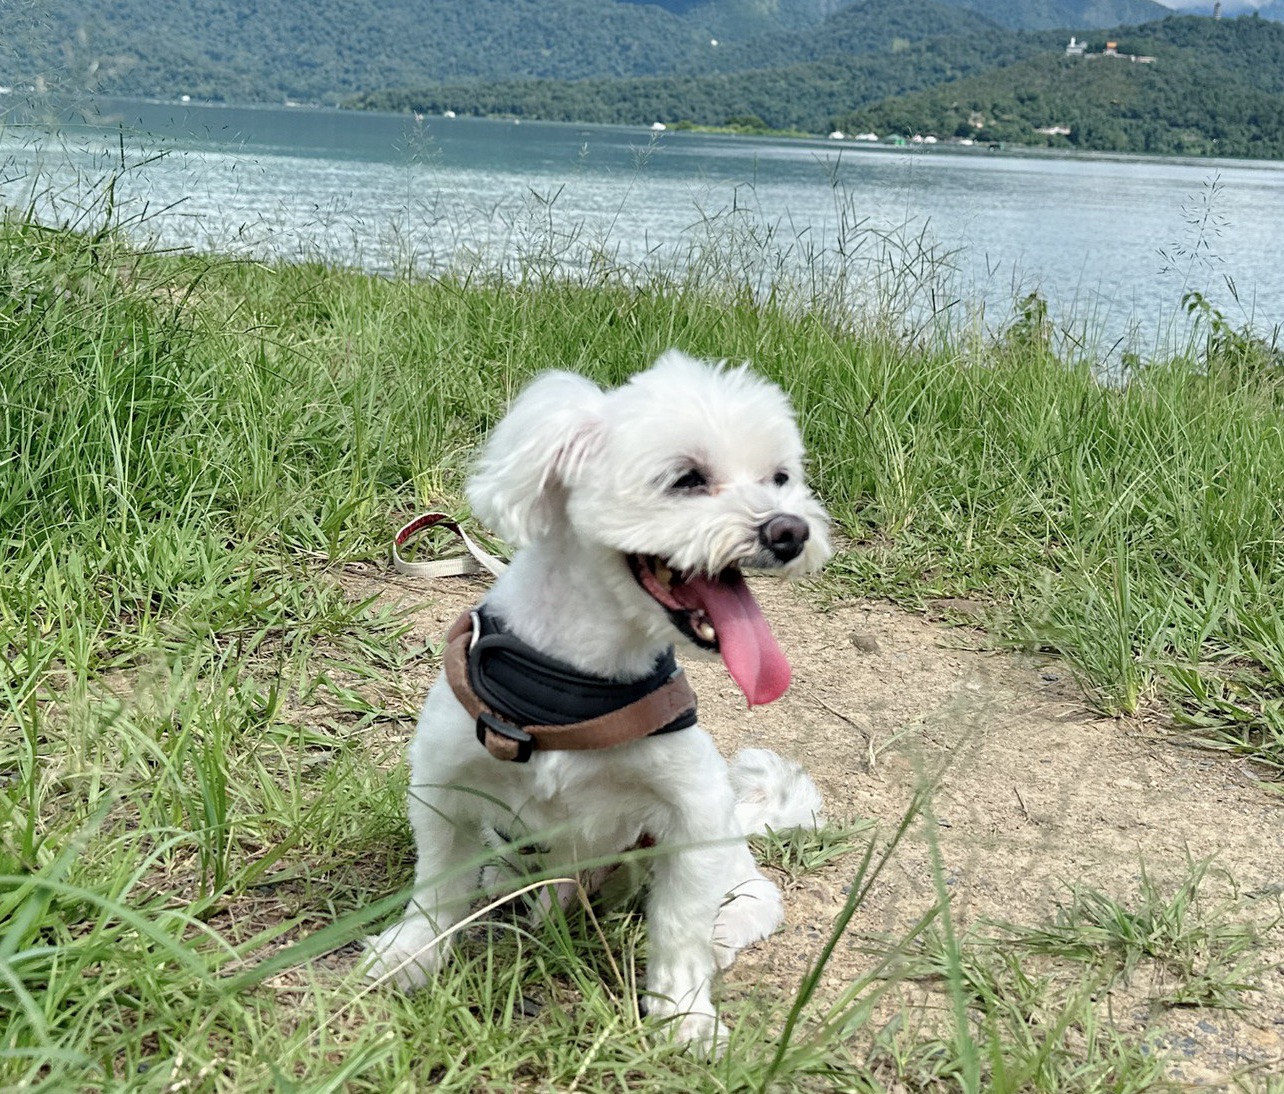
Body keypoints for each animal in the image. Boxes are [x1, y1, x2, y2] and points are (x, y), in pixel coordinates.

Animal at [365, 350, 831, 1046]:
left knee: (751, 899)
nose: (790, 530)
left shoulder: (694, 808)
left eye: (780, 478)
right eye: (687, 478)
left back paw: (719, 935)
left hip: (723, 851)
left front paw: (685, 1013)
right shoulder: (444, 781)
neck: (578, 679)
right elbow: (438, 886)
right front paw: (410, 954)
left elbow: (680, 924)